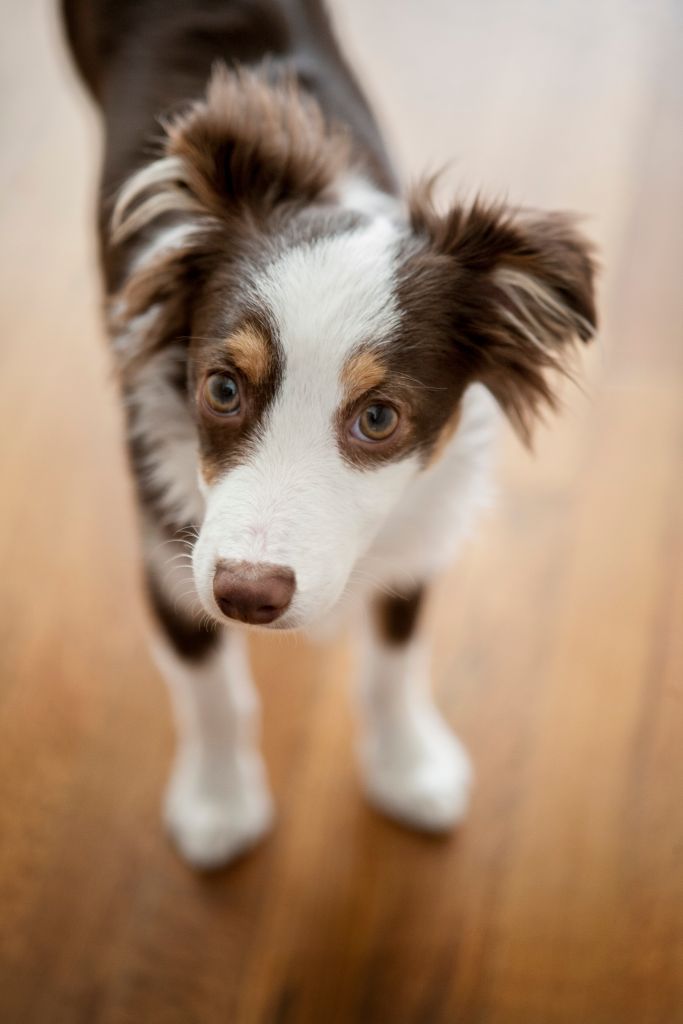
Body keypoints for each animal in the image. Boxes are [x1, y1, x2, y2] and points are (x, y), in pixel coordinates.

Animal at [63, 0, 598, 868]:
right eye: (221, 388)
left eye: (377, 418)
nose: (246, 595)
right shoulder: (167, 550)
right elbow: (212, 693)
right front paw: (218, 805)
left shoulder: (417, 528)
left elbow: (392, 663)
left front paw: (408, 769)